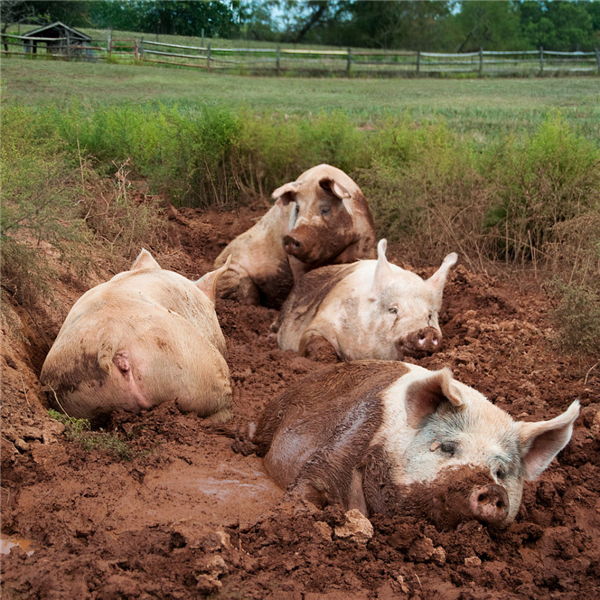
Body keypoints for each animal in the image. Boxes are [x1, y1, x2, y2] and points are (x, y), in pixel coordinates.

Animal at [214, 163, 376, 310]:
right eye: (298, 209)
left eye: (325, 209)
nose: (290, 238)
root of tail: (214, 263)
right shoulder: (295, 261)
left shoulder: (366, 243)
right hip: (233, 273)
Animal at [232, 358, 580, 528]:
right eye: (447, 447)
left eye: (501, 473)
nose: (492, 491)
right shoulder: (343, 442)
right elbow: (310, 484)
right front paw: (285, 516)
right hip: (274, 414)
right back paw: (239, 444)